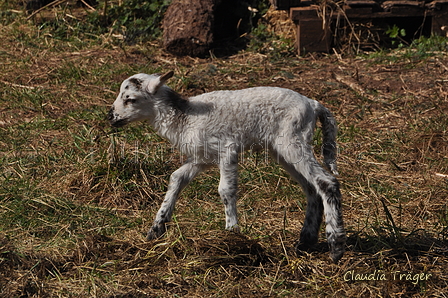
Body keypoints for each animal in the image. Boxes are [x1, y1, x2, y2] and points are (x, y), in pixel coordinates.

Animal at [107, 71, 346, 262]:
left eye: (130, 99)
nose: (110, 116)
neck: (184, 117)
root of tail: (313, 104)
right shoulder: (201, 158)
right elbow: (176, 178)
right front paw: (156, 229)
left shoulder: (227, 149)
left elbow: (225, 190)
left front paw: (232, 233)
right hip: (282, 150)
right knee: (311, 189)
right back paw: (305, 242)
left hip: (292, 140)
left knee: (326, 182)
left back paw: (336, 246)